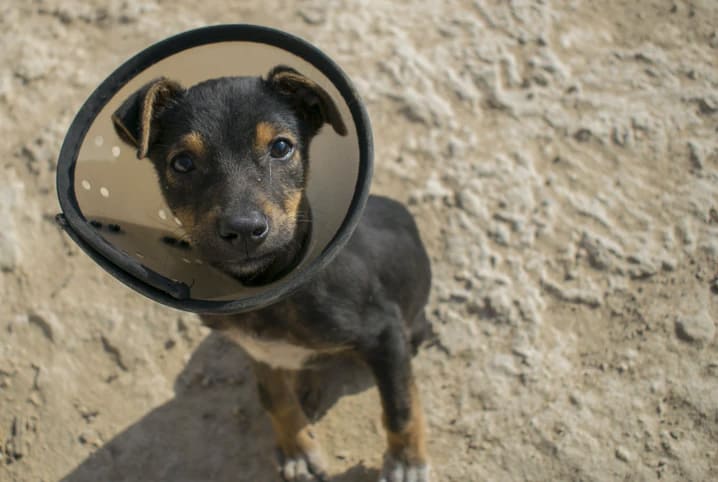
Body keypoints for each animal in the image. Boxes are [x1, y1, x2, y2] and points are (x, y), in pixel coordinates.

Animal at [112, 65, 434, 482]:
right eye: (182, 163)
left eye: (281, 147)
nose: (244, 230)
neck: (270, 291)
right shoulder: (257, 349)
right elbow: (273, 398)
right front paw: (298, 448)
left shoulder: (385, 332)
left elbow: (400, 404)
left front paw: (406, 461)